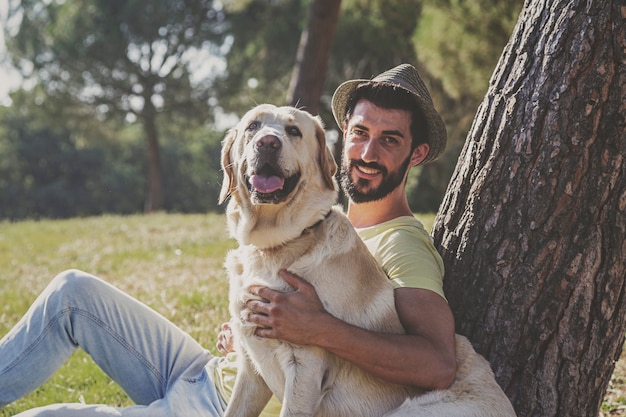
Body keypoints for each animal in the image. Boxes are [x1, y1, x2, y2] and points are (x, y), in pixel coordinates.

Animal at [217, 102, 516, 414]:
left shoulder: (305, 368)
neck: (275, 245)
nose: (267, 143)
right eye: (253, 126)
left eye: (294, 131)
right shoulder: (250, 369)